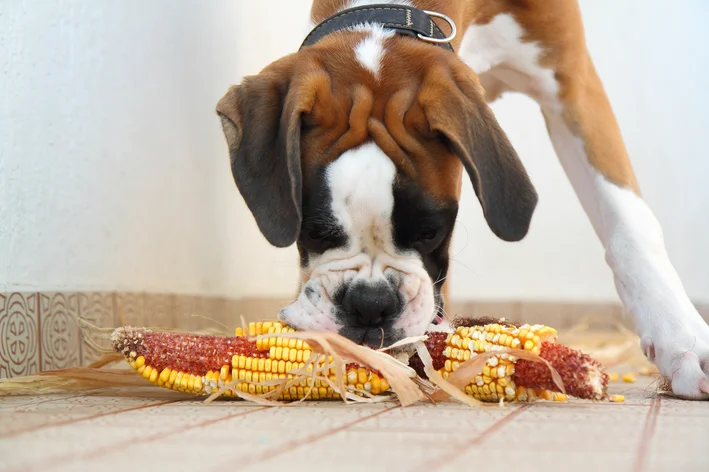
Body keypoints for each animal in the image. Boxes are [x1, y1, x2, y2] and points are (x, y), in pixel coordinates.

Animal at [216, 0, 708, 398]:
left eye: (431, 232)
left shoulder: (572, 84)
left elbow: (628, 222)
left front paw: (683, 342)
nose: (370, 304)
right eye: (313, 231)